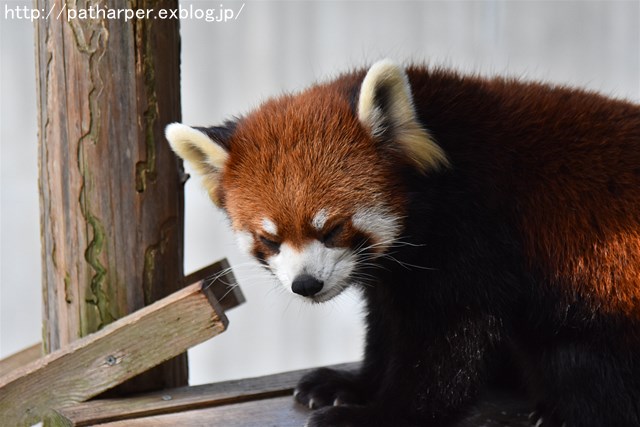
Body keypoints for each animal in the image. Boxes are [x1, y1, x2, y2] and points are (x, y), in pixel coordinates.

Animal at [166, 61, 640, 427]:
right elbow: (387, 329)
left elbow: (449, 345)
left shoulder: (475, 235)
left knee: (582, 363)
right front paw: (351, 384)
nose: (306, 284)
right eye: (270, 239)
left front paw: (378, 414)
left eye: (332, 229)